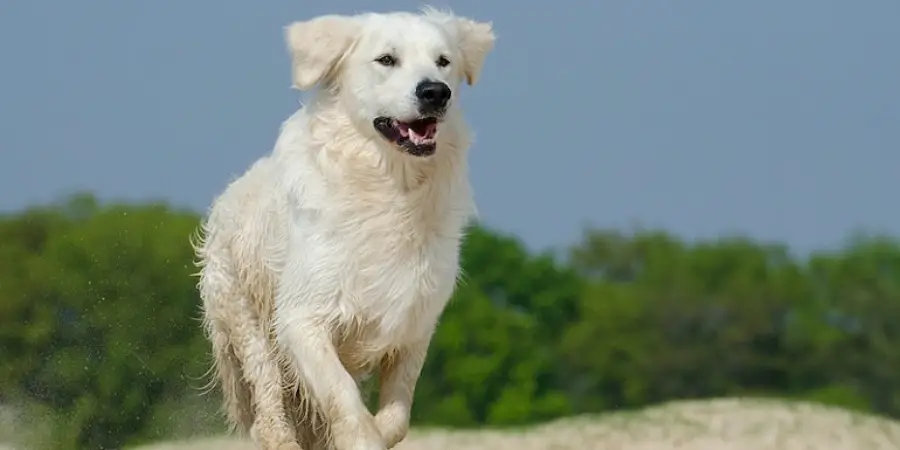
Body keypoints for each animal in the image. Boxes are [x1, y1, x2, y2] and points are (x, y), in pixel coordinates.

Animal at [192, 7, 496, 450]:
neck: (390, 186)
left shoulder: (415, 323)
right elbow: (342, 398)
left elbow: (395, 417)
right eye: (387, 59)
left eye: (443, 61)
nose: (436, 93)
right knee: (269, 411)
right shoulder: (302, 318)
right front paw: (359, 435)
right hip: (245, 318)